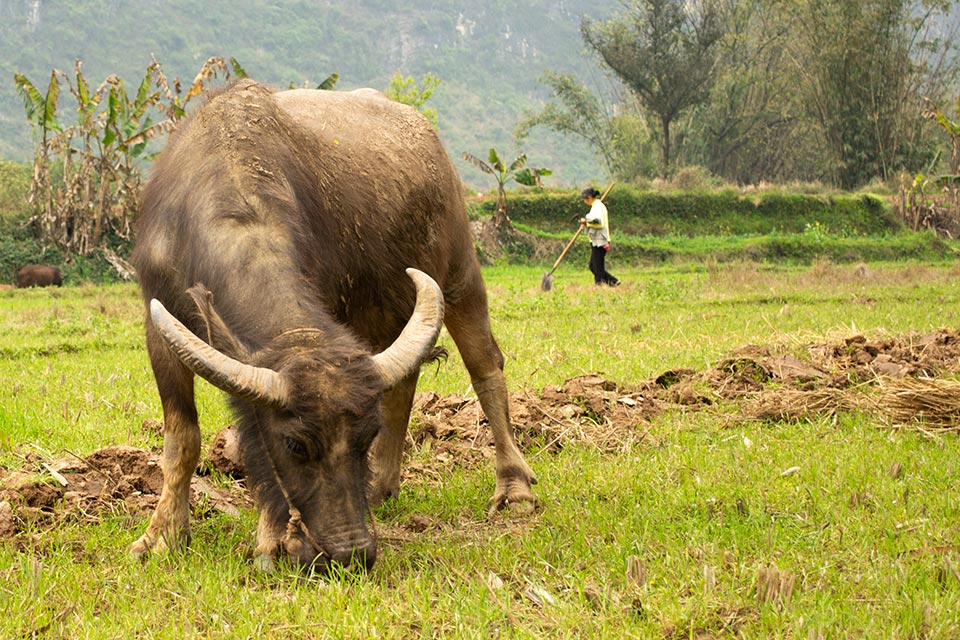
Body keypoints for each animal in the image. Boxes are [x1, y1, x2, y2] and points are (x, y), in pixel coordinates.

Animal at [130, 79, 536, 568]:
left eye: (365, 437)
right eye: (295, 444)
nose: (352, 552)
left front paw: (270, 541)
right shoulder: (158, 325)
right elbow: (183, 439)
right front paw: (163, 536)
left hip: (461, 274)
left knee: (485, 368)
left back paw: (514, 487)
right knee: (403, 383)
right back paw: (382, 486)